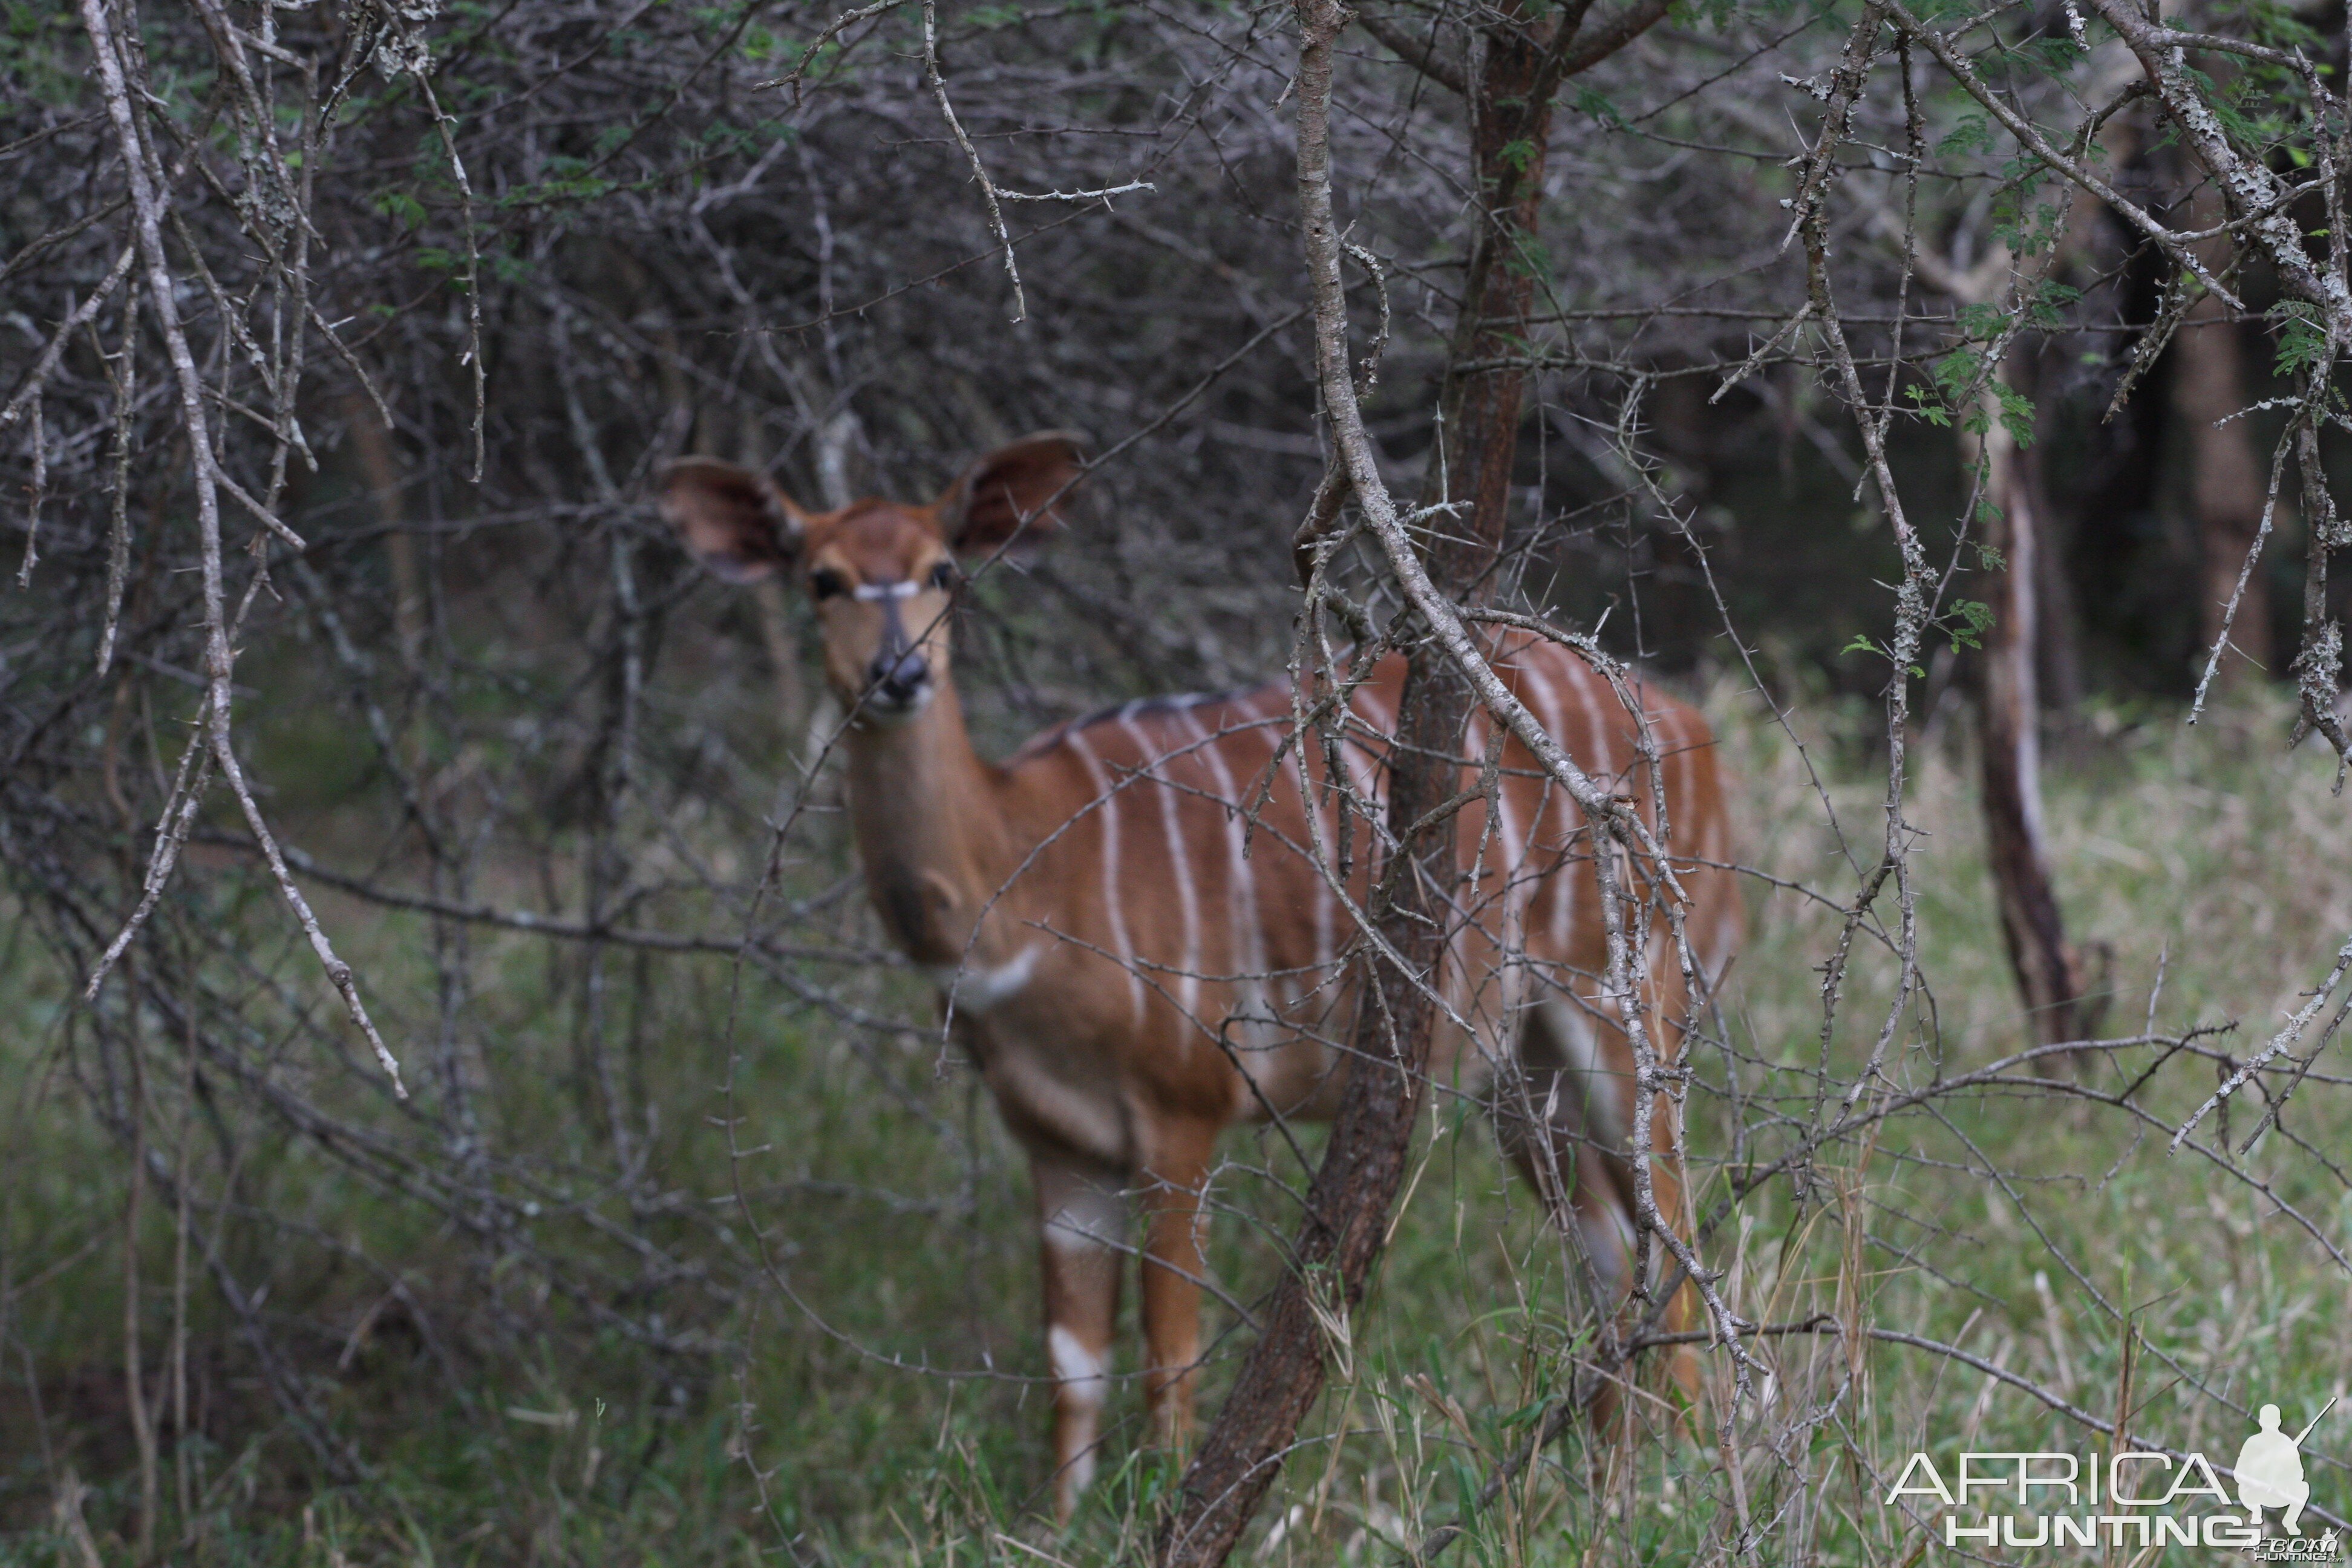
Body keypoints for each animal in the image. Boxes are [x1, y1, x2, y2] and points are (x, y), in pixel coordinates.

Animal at [653, 430, 1740, 1523]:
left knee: (1676, 1233)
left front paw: (1159, 1507)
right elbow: (1073, 1360)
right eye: (822, 577)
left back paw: (1683, 1482)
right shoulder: (1055, 1140)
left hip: (1627, 1006)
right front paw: (1061, 1525)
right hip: (1519, 1065)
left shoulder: (1181, 1111)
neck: (1022, 883)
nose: (899, 672)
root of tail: (1689, 726)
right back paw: (1607, 1490)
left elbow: (1167, 1351)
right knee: (1611, 1250)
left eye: (942, 569)